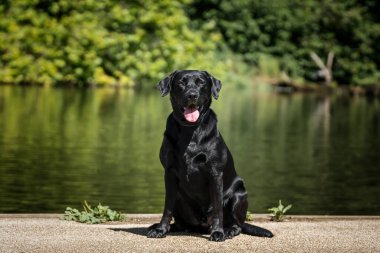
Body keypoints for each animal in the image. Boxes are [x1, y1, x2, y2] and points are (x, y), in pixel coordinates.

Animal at [146, 69, 274, 241]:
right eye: (181, 82)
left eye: (201, 82)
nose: (192, 95)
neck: (190, 130)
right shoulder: (170, 172)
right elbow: (167, 207)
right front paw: (161, 229)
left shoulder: (215, 173)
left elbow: (217, 208)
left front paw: (218, 232)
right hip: (180, 198)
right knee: (181, 223)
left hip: (239, 194)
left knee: (238, 224)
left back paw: (228, 230)